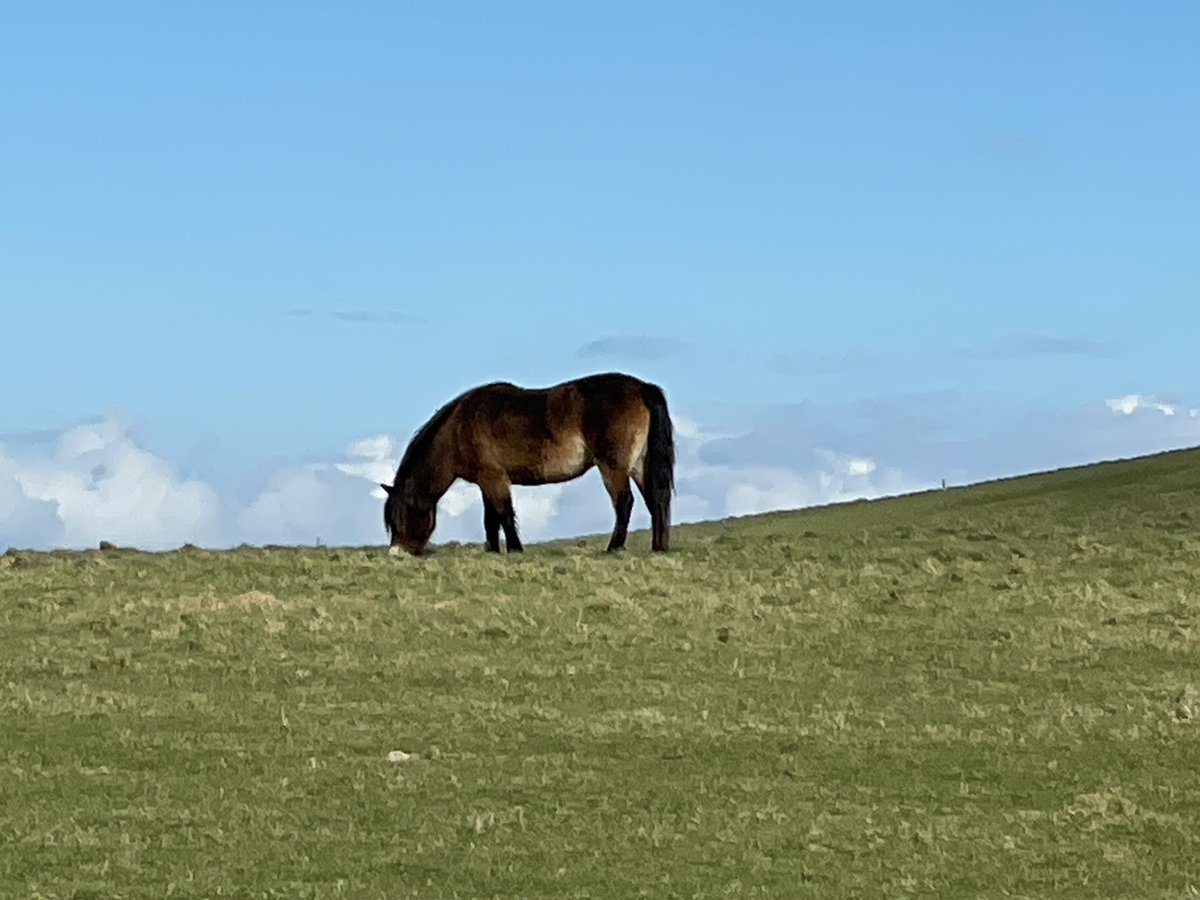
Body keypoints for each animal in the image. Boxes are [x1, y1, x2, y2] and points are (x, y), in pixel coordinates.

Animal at [379, 374, 672, 556]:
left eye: (402, 514)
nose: (396, 553)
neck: (458, 429)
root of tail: (641, 387)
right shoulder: (486, 481)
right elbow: (491, 519)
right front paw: (493, 551)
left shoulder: (494, 478)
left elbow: (504, 515)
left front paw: (515, 549)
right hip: (638, 465)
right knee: (656, 500)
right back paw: (658, 547)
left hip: (613, 467)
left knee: (624, 502)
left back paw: (614, 548)